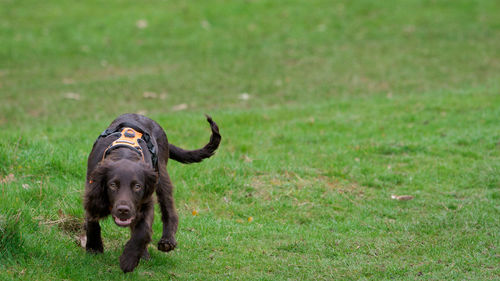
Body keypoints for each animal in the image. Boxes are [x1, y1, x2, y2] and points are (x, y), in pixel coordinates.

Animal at [84, 113, 221, 272]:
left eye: (137, 186)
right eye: (112, 185)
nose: (123, 210)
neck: (125, 153)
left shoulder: (146, 201)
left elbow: (143, 230)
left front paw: (129, 259)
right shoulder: (92, 188)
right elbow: (92, 218)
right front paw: (94, 247)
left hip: (161, 174)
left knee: (169, 209)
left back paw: (166, 241)